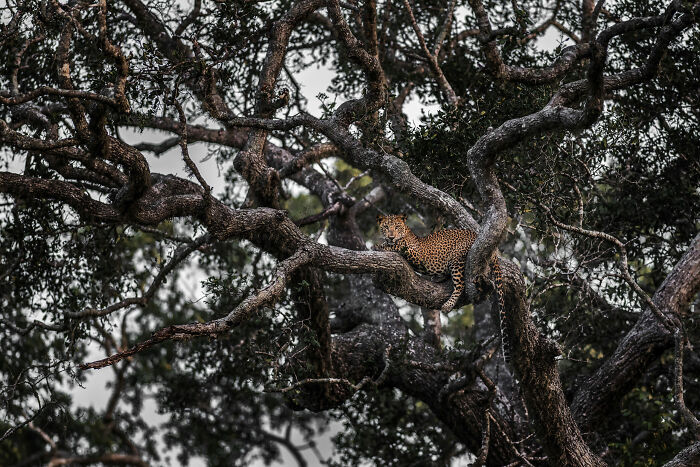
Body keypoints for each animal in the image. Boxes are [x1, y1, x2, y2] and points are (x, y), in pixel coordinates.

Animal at [376, 214, 509, 362]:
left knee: (461, 285)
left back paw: (448, 304)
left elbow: (398, 245)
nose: (391, 236)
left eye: (397, 227)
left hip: (457, 259)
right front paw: (384, 243)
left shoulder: (415, 252)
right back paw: (438, 278)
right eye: (386, 227)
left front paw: (382, 245)